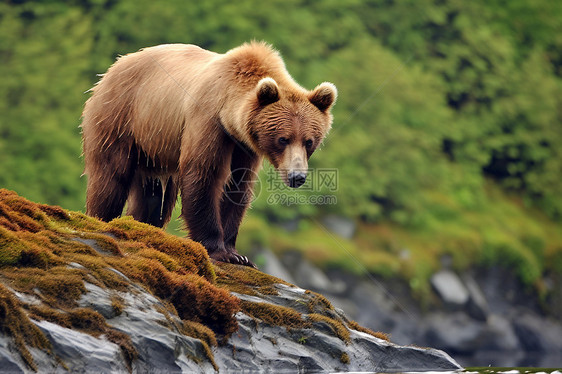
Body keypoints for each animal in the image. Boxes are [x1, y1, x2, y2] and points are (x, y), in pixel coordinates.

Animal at [82, 42, 336, 268]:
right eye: (283, 139)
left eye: (309, 141)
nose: (297, 176)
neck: (230, 116)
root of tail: (113, 67)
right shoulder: (207, 121)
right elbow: (204, 175)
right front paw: (218, 250)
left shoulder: (243, 146)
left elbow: (238, 185)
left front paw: (238, 254)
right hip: (121, 118)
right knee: (111, 176)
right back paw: (102, 218)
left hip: (153, 147)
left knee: (153, 193)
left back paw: (143, 225)